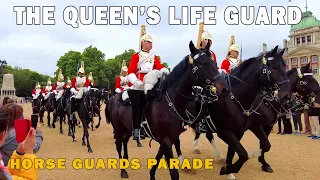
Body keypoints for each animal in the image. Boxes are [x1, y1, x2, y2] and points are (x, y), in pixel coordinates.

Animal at [106, 41, 229, 179]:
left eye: (214, 63)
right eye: (202, 64)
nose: (224, 89)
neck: (169, 102)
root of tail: (114, 98)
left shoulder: (168, 138)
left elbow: (158, 157)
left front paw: (152, 174)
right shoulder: (166, 139)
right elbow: (173, 172)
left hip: (128, 128)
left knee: (125, 142)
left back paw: (125, 162)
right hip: (118, 128)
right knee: (118, 145)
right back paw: (123, 170)